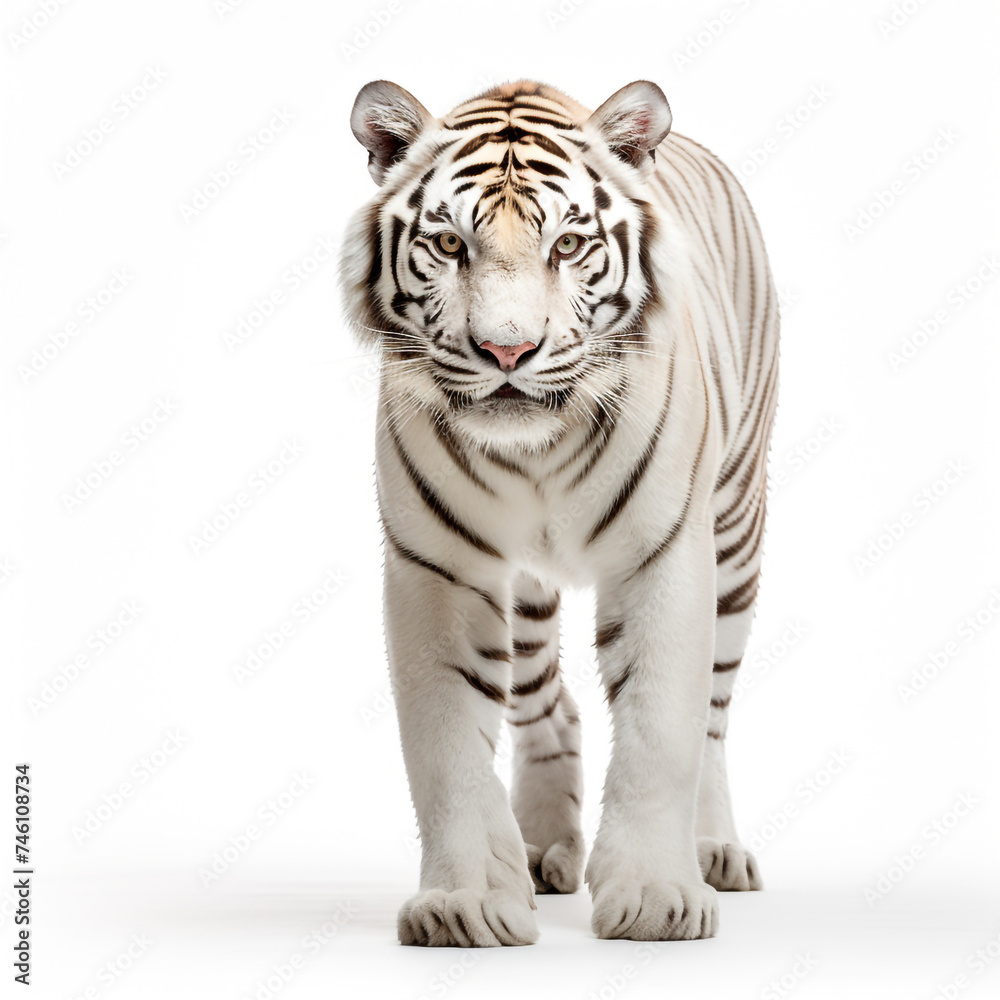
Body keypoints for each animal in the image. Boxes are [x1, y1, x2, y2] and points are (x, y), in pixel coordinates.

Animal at [340, 78, 779, 946]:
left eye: (568, 246)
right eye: (449, 245)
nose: (507, 351)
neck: (535, 453)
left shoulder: (665, 554)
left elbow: (661, 729)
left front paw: (655, 899)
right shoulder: (439, 569)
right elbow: (445, 742)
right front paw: (466, 903)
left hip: (736, 534)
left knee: (713, 711)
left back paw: (712, 848)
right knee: (548, 699)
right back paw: (544, 848)